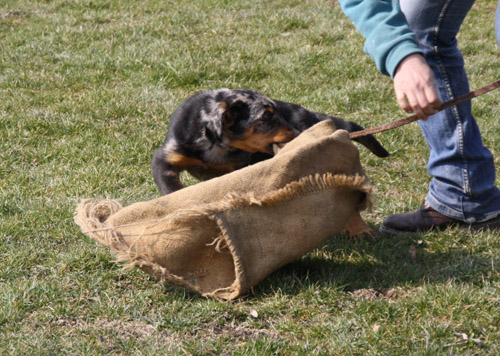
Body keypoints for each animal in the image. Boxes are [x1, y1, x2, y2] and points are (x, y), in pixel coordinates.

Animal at [152, 88, 390, 195]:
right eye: (267, 116)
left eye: (278, 114)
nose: (297, 132)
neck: (217, 144)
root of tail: (310, 115)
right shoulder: (165, 158)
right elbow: (171, 188)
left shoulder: (239, 166)